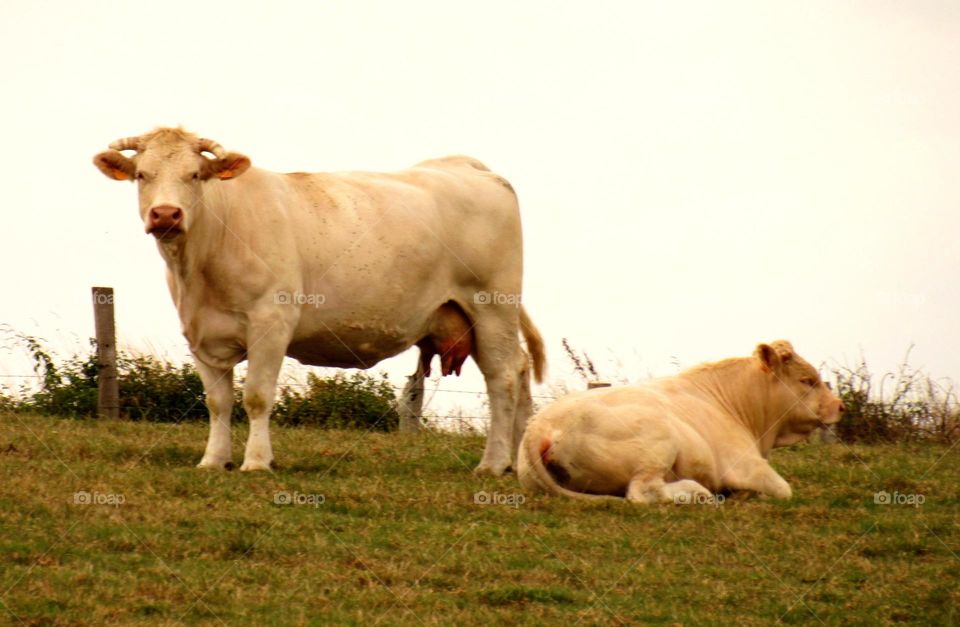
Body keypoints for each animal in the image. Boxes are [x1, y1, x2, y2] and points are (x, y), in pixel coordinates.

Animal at [93, 127, 545, 475]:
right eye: (142, 175)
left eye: (194, 175)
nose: (166, 214)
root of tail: (464, 165)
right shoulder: (200, 334)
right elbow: (217, 402)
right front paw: (214, 460)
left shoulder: (271, 322)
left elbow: (257, 396)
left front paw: (256, 462)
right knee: (520, 370)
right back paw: (520, 463)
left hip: (491, 306)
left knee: (503, 378)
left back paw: (492, 463)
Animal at [517, 341, 843, 502]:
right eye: (806, 380)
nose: (840, 406)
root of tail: (540, 426)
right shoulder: (746, 464)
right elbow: (783, 490)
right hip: (658, 441)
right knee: (643, 492)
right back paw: (697, 492)